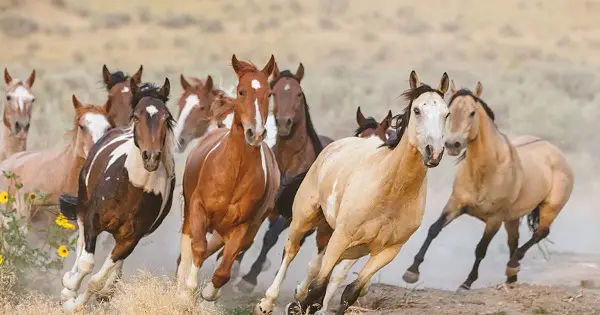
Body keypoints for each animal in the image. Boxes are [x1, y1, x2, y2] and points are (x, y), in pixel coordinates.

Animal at [59, 78, 176, 314]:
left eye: (166, 117)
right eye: (137, 116)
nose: (151, 157)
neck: (134, 188)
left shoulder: (130, 240)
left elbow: (96, 281)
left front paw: (77, 303)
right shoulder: (93, 220)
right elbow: (86, 262)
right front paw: (69, 292)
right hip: (83, 204)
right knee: (80, 244)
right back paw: (69, 282)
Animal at [176, 55, 282, 304]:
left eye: (269, 94)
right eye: (242, 91)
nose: (255, 133)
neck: (234, 173)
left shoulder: (242, 227)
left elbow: (223, 270)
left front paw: (208, 292)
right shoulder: (197, 208)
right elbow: (197, 248)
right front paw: (187, 291)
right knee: (190, 249)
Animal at [234, 62, 336, 294]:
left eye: (298, 94)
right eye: (275, 93)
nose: (283, 123)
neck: (289, 162)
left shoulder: (289, 214)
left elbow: (270, 237)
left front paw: (249, 278)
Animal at [400, 81, 576, 292]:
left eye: (472, 113)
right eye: (450, 112)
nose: (452, 145)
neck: (485, 171)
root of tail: (557, 153)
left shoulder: (494, 220)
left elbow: (480, 249)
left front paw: (466, 283)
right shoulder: (456, 204)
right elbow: (434, 229)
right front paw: (412, 271)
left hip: (549, 209)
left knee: (540, 233)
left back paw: (513, 265)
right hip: (513, 218)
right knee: (514, 241)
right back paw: (511, 278)